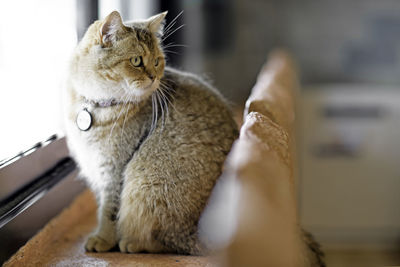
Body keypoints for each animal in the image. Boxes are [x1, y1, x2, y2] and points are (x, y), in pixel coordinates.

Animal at [62, 10, 238, 255]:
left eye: (157, 61)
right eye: (136, 61)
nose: (154, 77)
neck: (95, 106)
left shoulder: (113, 170)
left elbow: (109, 211)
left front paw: (103, 239)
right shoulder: (96, 170)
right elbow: (102, 204)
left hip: (145, 185)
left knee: (166, 240)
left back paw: (132, 243)